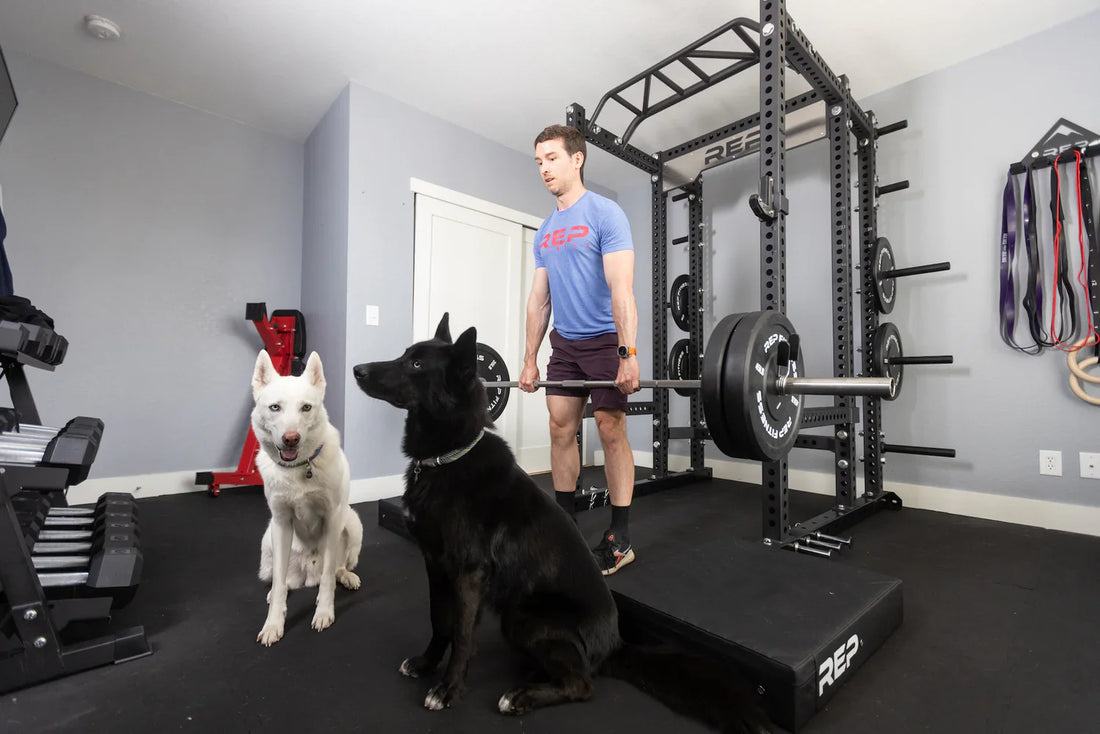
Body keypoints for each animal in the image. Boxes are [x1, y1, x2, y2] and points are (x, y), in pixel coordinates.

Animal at [248, 352, 360, 647]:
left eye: (306, 408)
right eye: (275, 407)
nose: (291, 439)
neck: (299, 468)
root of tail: (307, 577)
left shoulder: (333, 518)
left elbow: (329, 578)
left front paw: (324, 611)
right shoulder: (281, 522)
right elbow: (278, 587)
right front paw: (273, 624)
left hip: (353, 523)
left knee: (336, 569)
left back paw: (346, 577)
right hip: (267, 539)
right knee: (281, 580)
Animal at [356, 312, 770, 730]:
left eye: (416, 365)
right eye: (406, 355)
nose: (358, 370)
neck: (449, 456)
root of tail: (616, 645)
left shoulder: (468, 574)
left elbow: (462, 635)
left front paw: (449, 690)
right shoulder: (435, 565)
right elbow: (439, 622)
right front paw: (426, 664)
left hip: (522, 616)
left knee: (582, 684)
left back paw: (519, 697)